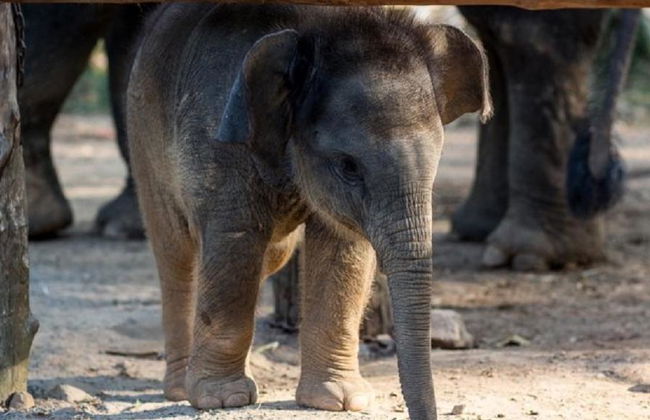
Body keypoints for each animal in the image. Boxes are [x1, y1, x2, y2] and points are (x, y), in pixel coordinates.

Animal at [128, 4, 490, 419]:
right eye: (349, 166)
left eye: (436, 161)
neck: (316, 26)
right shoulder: (217, 136)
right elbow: (235, 239)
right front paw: (223, 399)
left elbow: (342, 248)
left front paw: (340, 401)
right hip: (143, 137)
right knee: (176, 252)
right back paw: (179, 388)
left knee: (271, 254)